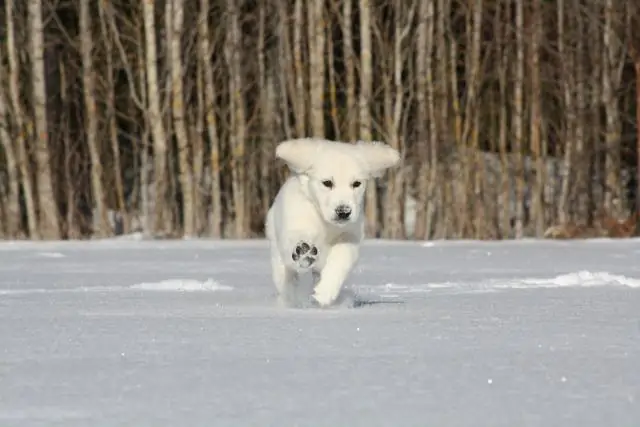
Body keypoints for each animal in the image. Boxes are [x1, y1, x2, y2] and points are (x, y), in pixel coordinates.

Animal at [262, 137, 398, 308]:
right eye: (327, 183)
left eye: (356, 184)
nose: (343, 212)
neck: (325, 222)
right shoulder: (295, 223)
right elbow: (296, 239)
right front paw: (303, 252)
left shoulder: (350, 235)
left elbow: (341, 258)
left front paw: (325, 293)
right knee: (286, 281)